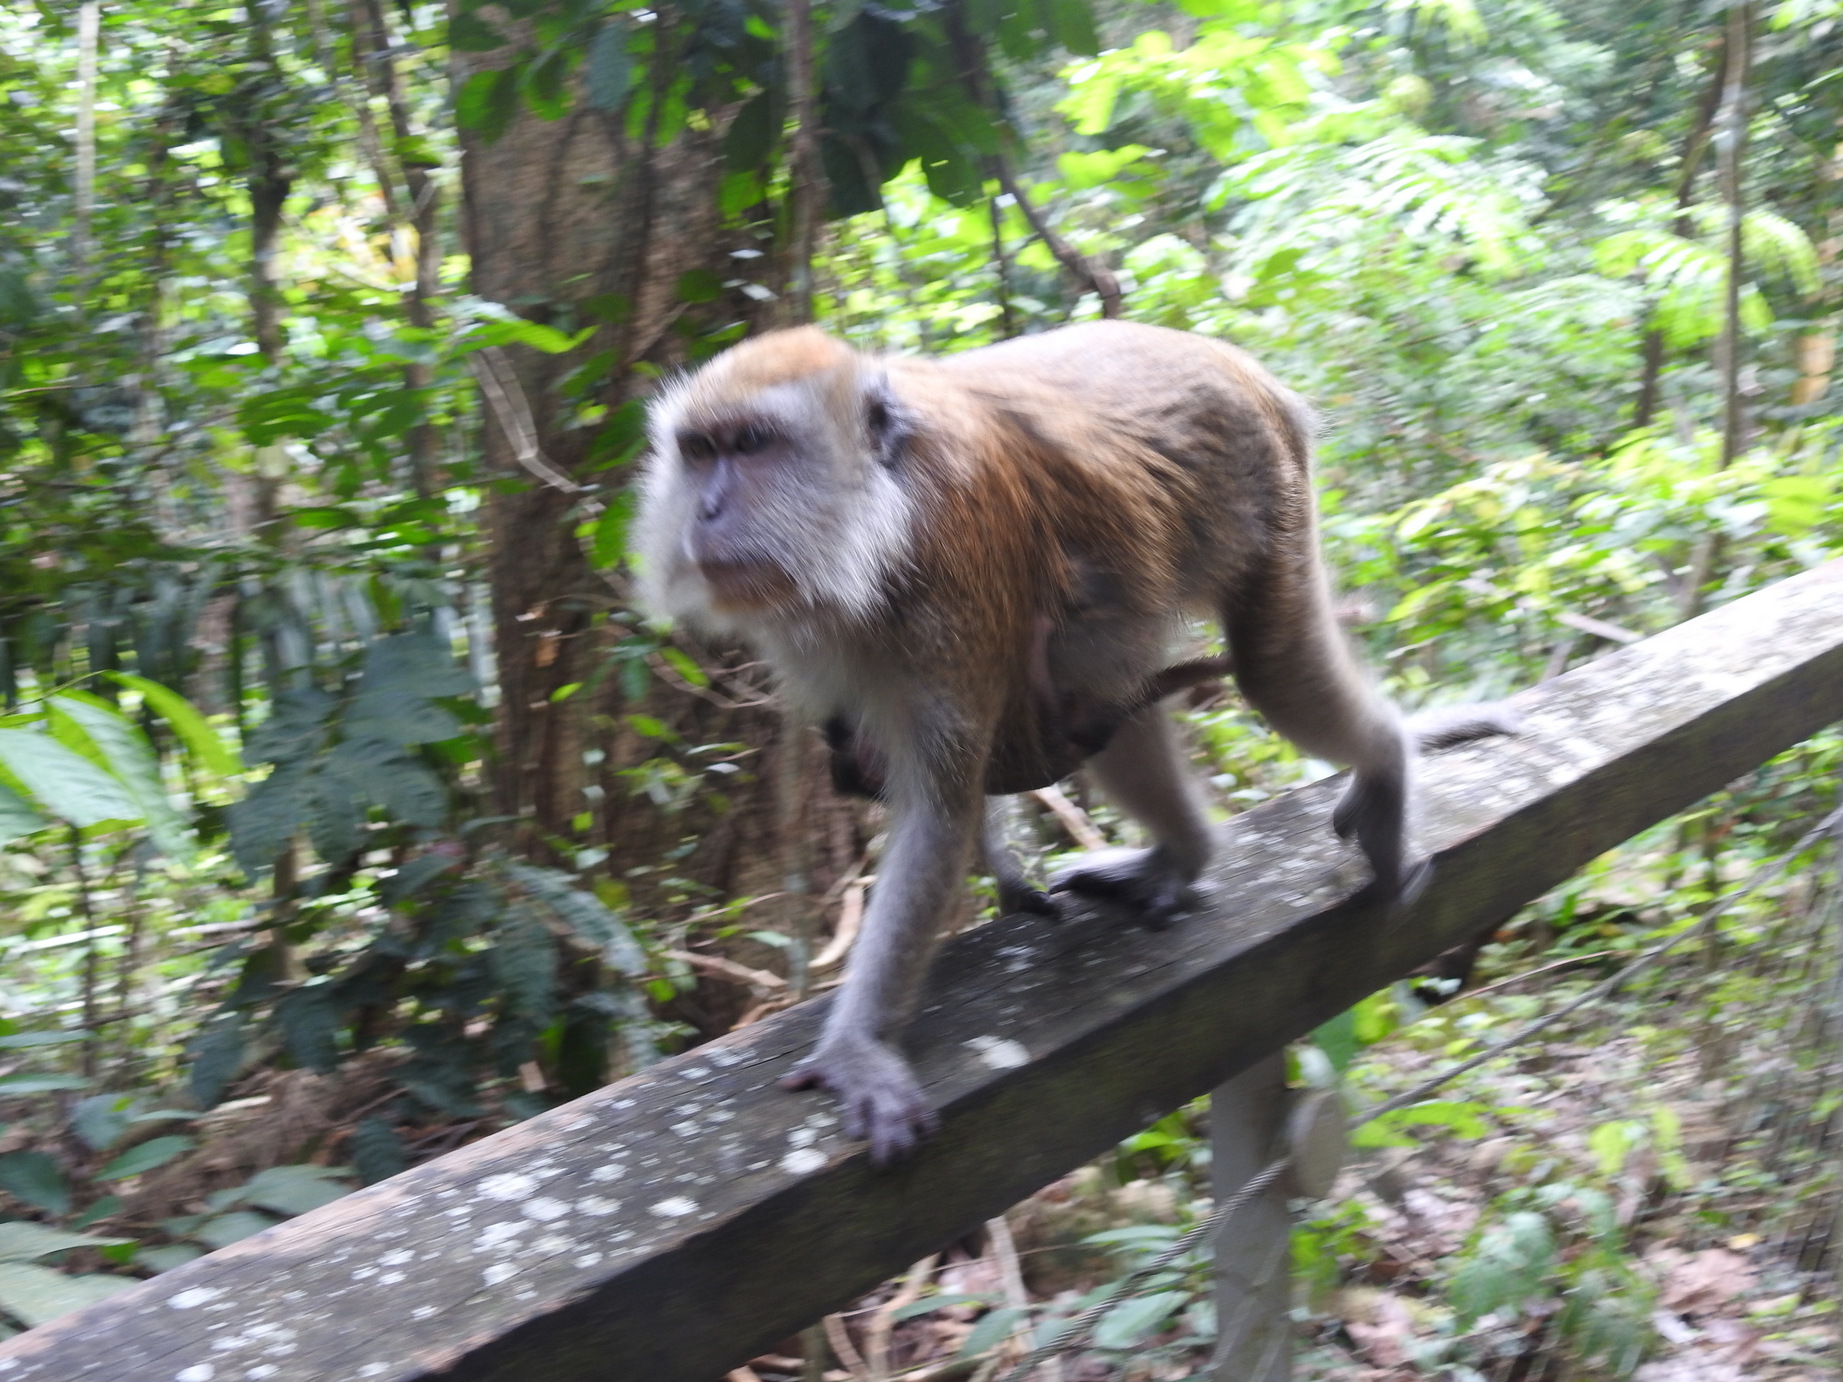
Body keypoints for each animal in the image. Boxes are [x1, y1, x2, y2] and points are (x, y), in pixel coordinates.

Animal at [636, 320, 1512, 1163]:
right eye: (699, 452)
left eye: (753, 445)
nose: (704, 515)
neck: (880, 507)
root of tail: (1240, 367)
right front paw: (1000, 860)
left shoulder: (954, 556)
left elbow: (938, 808)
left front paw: (858, 1046)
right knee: (1102, 693)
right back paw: (1182, 852)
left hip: (1262, 486)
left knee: (1274, 673)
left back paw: (1387, 764)